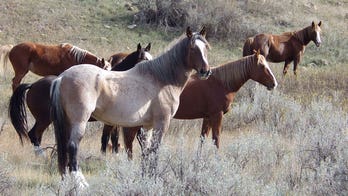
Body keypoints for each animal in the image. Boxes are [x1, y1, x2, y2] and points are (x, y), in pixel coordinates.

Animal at [7, 43, 152, 155]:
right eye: (144, 59)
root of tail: (33, 85)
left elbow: (113, 138)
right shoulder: (111, 122)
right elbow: (107, 139)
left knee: (36, 136)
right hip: (44, 119)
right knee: (34, 135)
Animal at [50, 26, 211, 186]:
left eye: (206, 48)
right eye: (192, 48)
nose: (206, 71)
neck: (161, 79)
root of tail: (62, 77)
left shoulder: (147, 126)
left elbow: (146, 152)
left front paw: (145, 178)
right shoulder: (161, 123)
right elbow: (155, 151)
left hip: (67, 122)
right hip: (79, 121)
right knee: (72, 147)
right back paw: (80, 183)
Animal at [102, 49, 278, 158]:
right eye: (262, 66)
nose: (274, 84)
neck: (221, 82)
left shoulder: (207, 117)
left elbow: (203, 138)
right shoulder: (217, 115)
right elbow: (216, 138)